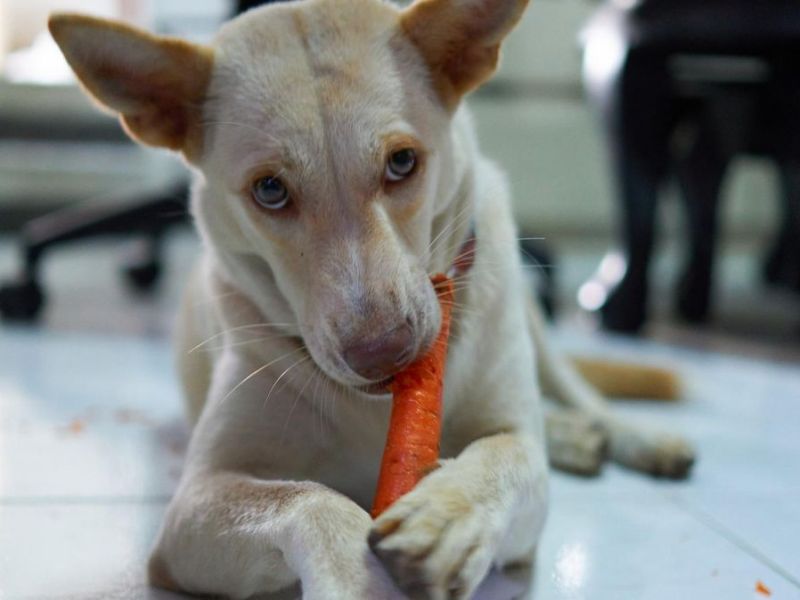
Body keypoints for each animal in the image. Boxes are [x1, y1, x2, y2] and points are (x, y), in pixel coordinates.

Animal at [48, 2, 692, 596]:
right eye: (270, 190)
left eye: (402, 161)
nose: (384, 353)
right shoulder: (193, 504)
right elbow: (309, 499)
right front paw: (359, 578)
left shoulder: (515, 448)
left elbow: (506, 456)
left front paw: (447, 515)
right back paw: (579, 439)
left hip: (530, 317)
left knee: (576, 390)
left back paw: (630, 437)